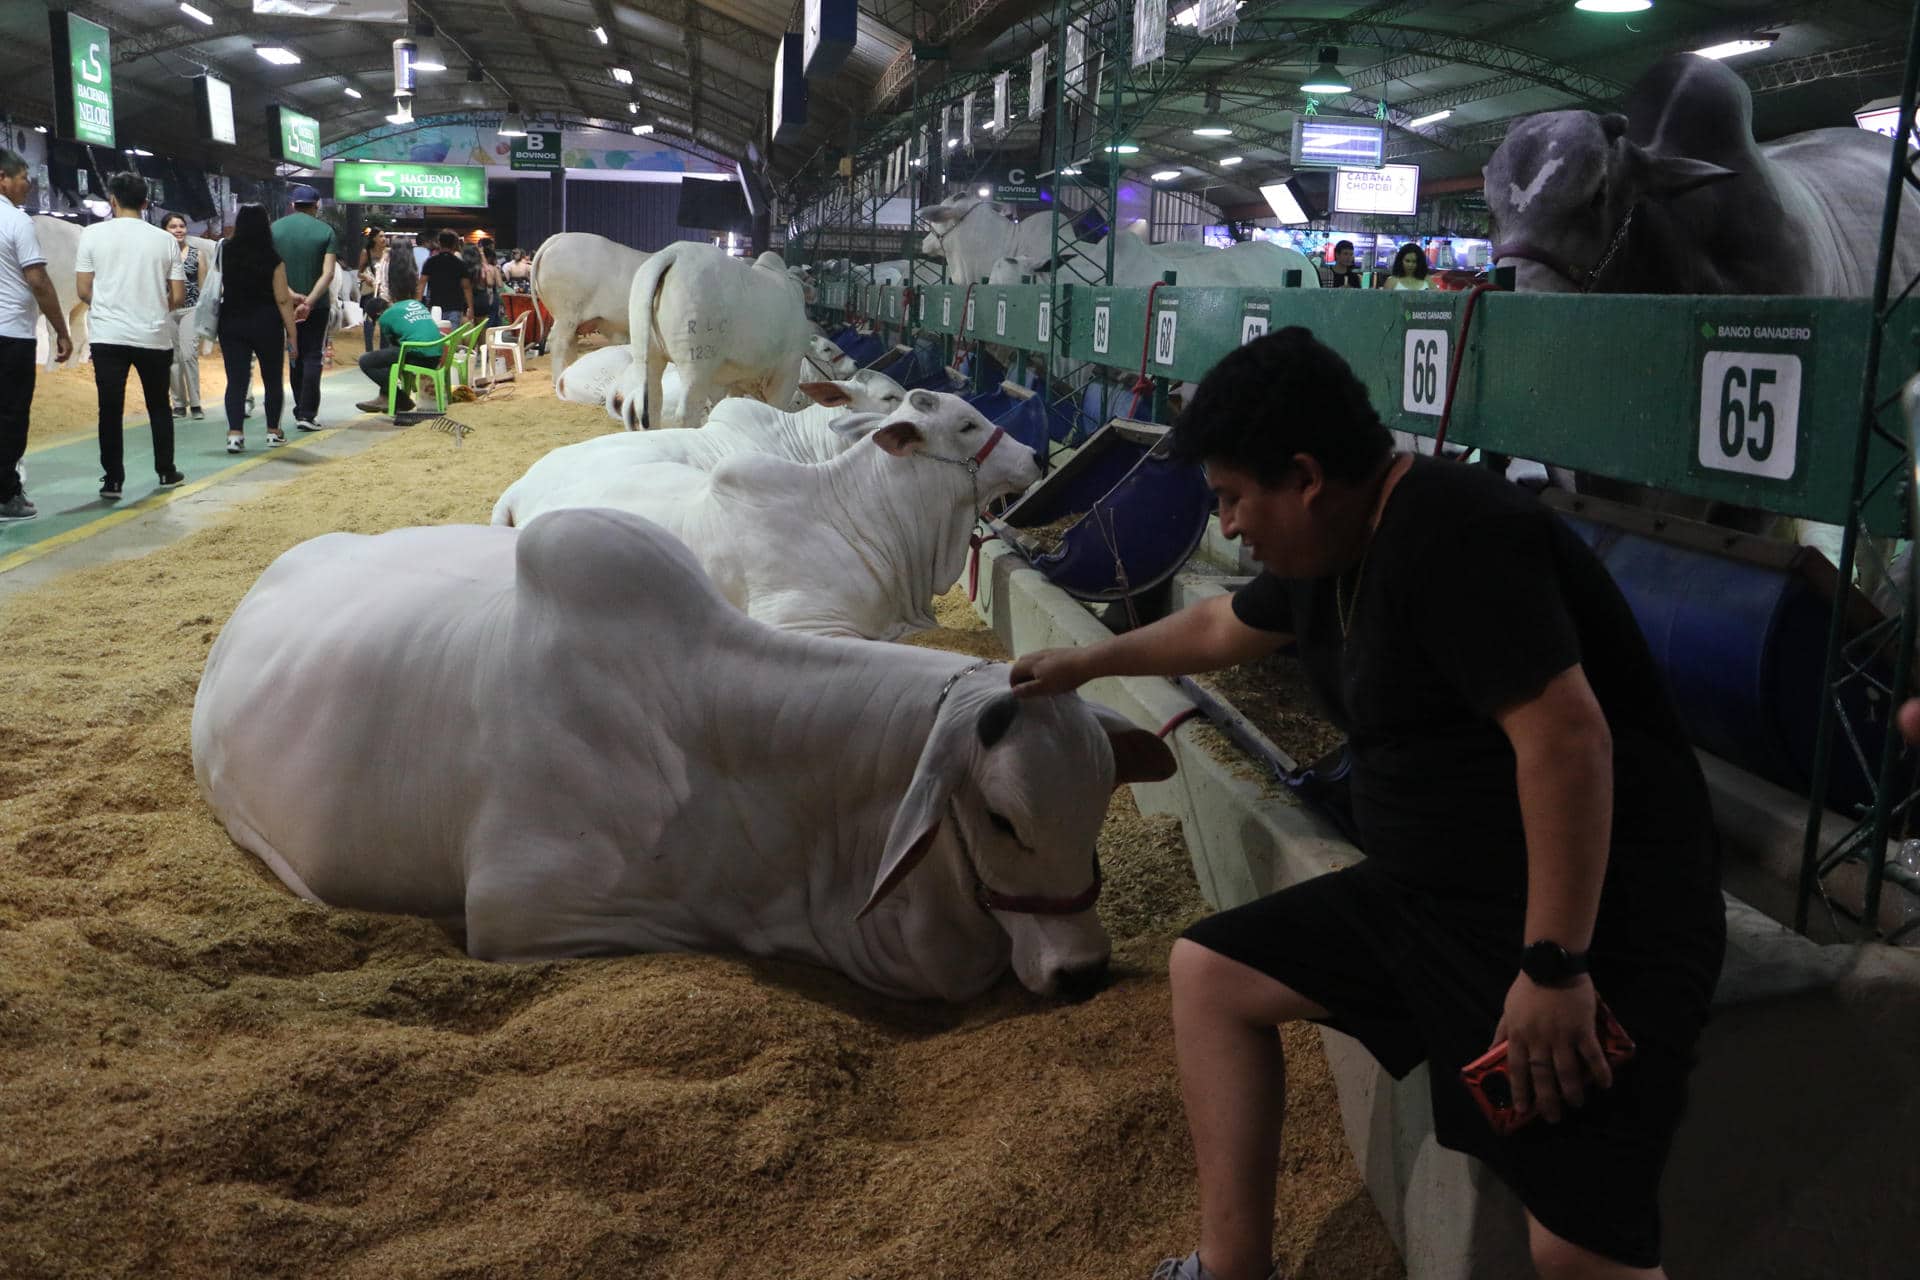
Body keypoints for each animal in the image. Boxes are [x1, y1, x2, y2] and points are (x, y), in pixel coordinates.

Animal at [625, 242, 806, 433]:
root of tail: (673, 253)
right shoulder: (788, 371)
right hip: (696, 364)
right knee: (687, 412)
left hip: (646, 353)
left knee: (650, 404)